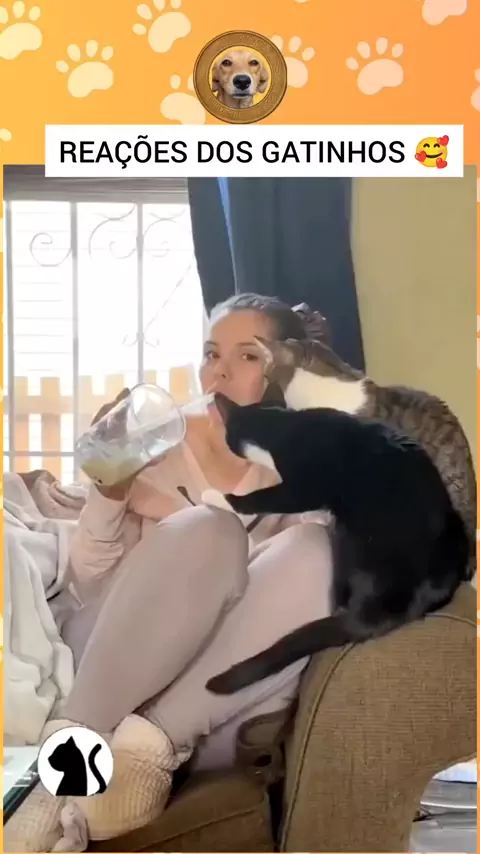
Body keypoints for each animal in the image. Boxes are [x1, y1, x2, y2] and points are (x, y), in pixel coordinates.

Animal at [205, 392, 469, 695]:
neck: (280, 424)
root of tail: (383, 611)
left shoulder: (302, 486)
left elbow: (262, 499)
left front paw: (217, 497)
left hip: (349, 537)